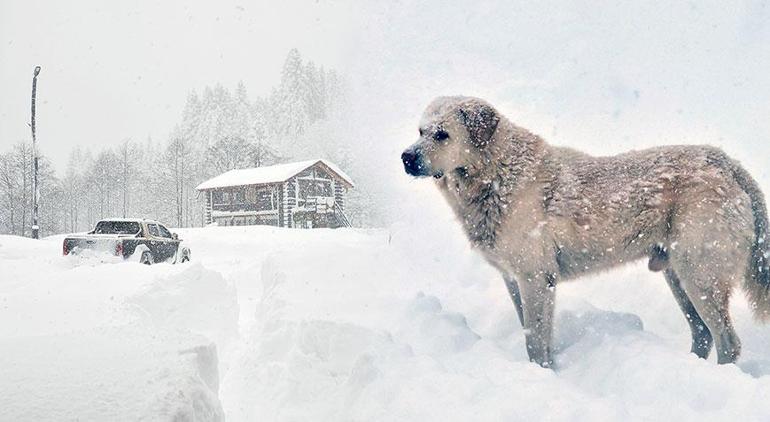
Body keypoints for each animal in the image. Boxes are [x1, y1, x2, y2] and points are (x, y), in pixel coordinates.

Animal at [402, 95, 768, 366]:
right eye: (420, 131)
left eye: (442, 134)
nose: (406, 157)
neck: (494, 175)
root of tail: (726, 162)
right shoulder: (514, 279)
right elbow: (531, 333)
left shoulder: (535, 278)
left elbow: (535, 342)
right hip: (678, 274)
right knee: (703, 335)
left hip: (698, 273)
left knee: (728, 342)